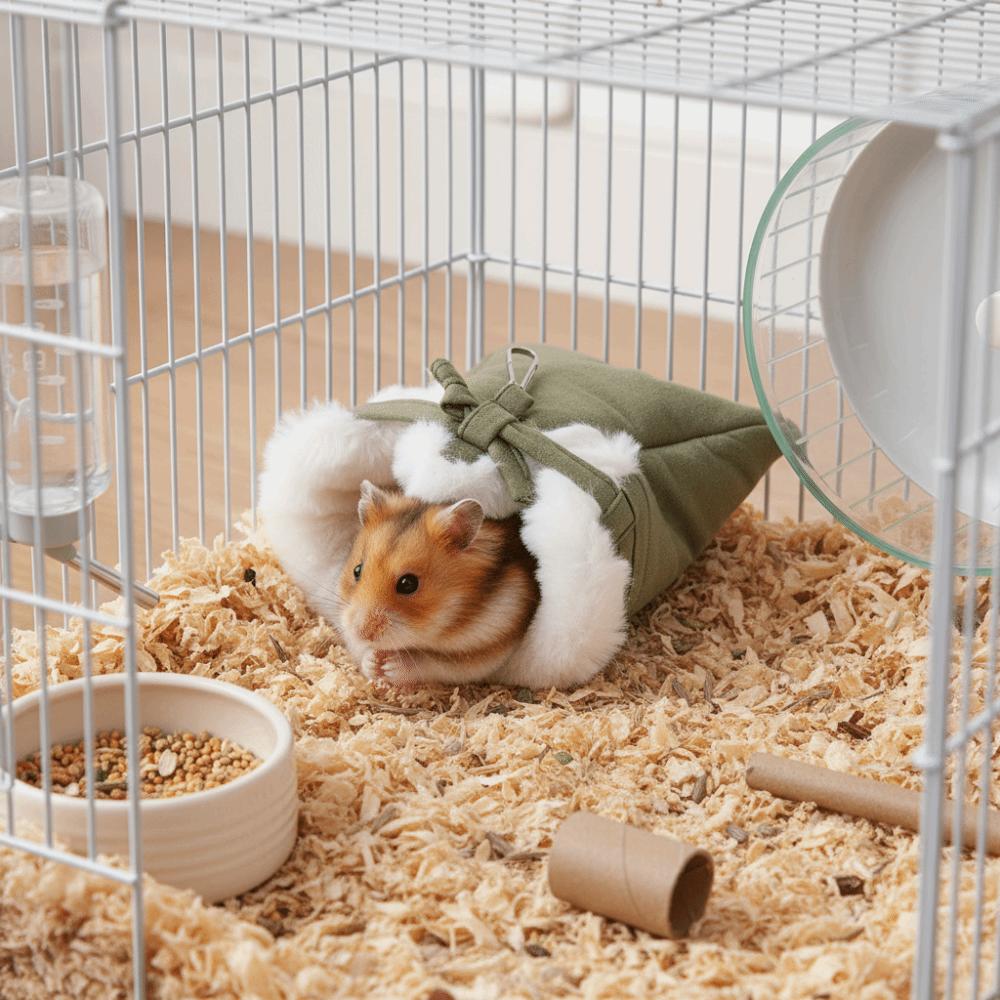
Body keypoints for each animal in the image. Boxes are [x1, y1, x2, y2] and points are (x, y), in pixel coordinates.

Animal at [336, 481, 540, 687]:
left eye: (408, 584)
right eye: (357, 570)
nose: (362, 632)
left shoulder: (488, 644)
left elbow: (433, 662)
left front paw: (390, 666)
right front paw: (372, 661)